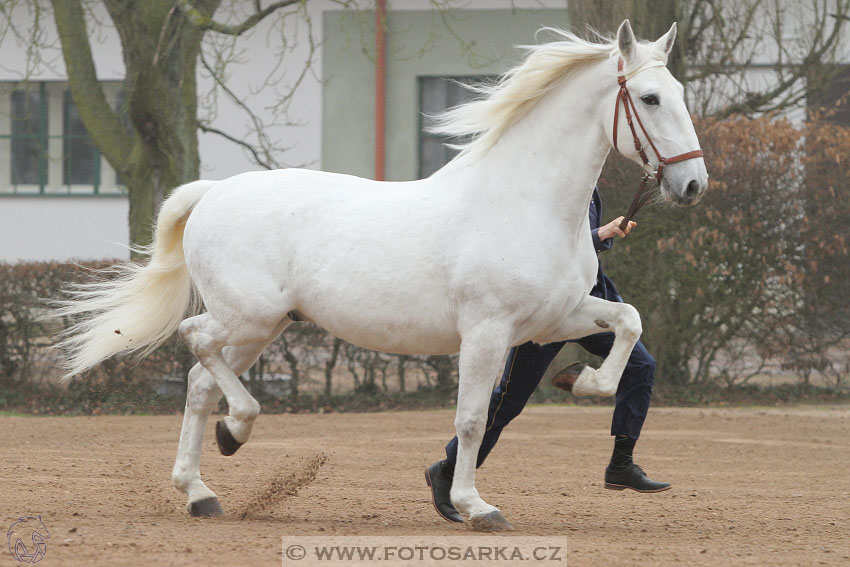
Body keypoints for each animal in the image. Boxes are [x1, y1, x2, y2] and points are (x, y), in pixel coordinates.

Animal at [54, 20, 704, 532]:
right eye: (649, 98)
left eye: (678, 92)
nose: (694, 185)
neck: (526, 202)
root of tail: (214, 191)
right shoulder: (488, 332)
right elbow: (473, 419)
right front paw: (477, 507)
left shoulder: (553, 320)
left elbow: (627, 321)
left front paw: (583, 382)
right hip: (249, 318)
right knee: (196, 342)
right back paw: (235, 432)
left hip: (263, 328)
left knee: (197, 382)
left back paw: (202, 490)